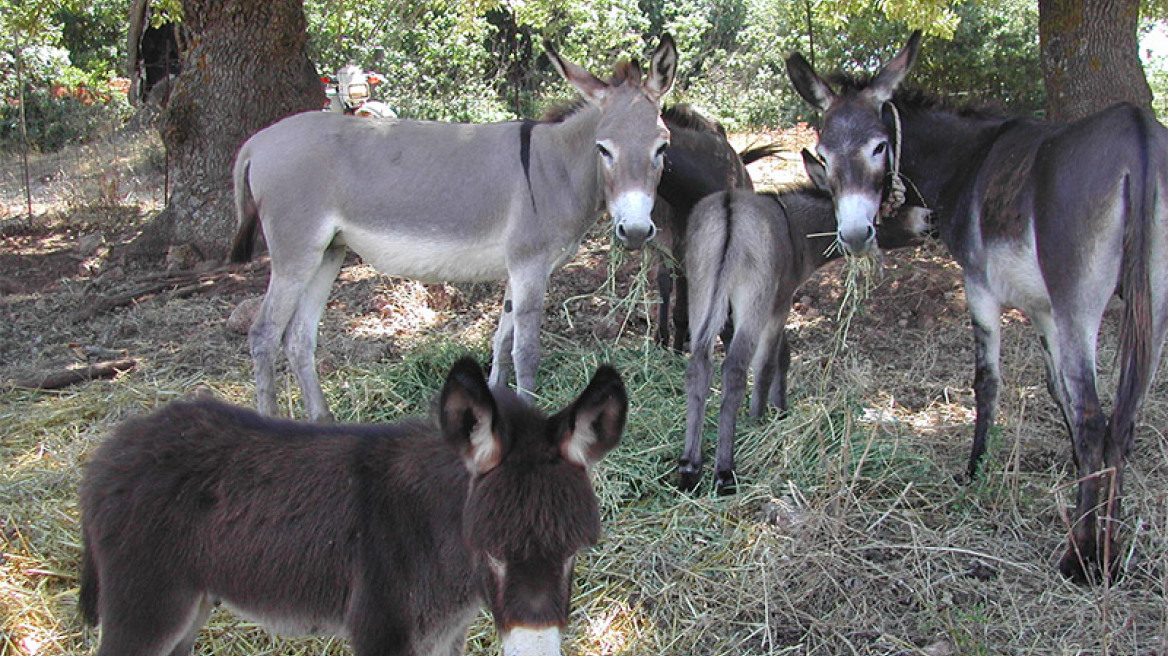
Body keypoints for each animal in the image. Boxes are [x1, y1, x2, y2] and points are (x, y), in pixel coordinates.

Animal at [80, 354, 630, 653]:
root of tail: (110, 451)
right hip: (144, 604)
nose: (535, 649)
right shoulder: (380, 630)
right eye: (490, 551)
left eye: (572, 554)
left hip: (189, 603)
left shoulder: (444, 636)